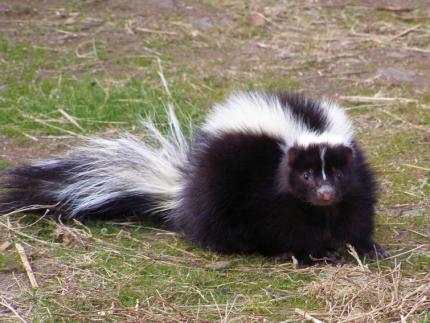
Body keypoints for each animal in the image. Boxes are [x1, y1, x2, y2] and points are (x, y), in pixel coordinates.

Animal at [0, 92, 390, 264]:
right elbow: (288, 224)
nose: (325, 193)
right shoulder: (270, 191)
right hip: (218, 188)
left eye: (335, 173)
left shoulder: (355, 180)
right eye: (306, 175)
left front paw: (366, 247)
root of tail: (181, 193)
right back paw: (251, 248)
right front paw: (315, 253)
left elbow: (357, 212)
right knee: (221, 225)